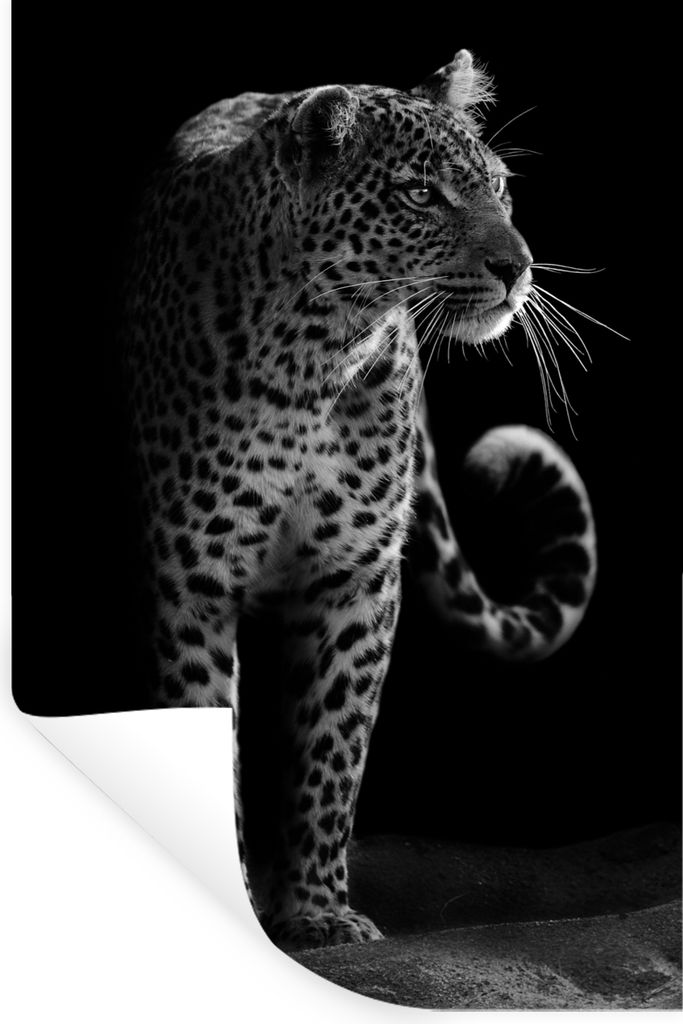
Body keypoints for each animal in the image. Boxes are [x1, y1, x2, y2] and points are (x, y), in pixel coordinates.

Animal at [123, 49, 597, 952]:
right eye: (420, 194)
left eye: (497, 186)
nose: (517, 268)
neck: (315, 352)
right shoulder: (189, 577)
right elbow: (204, 722)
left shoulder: (355, 578)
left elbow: (331, 747)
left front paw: (317, 909)